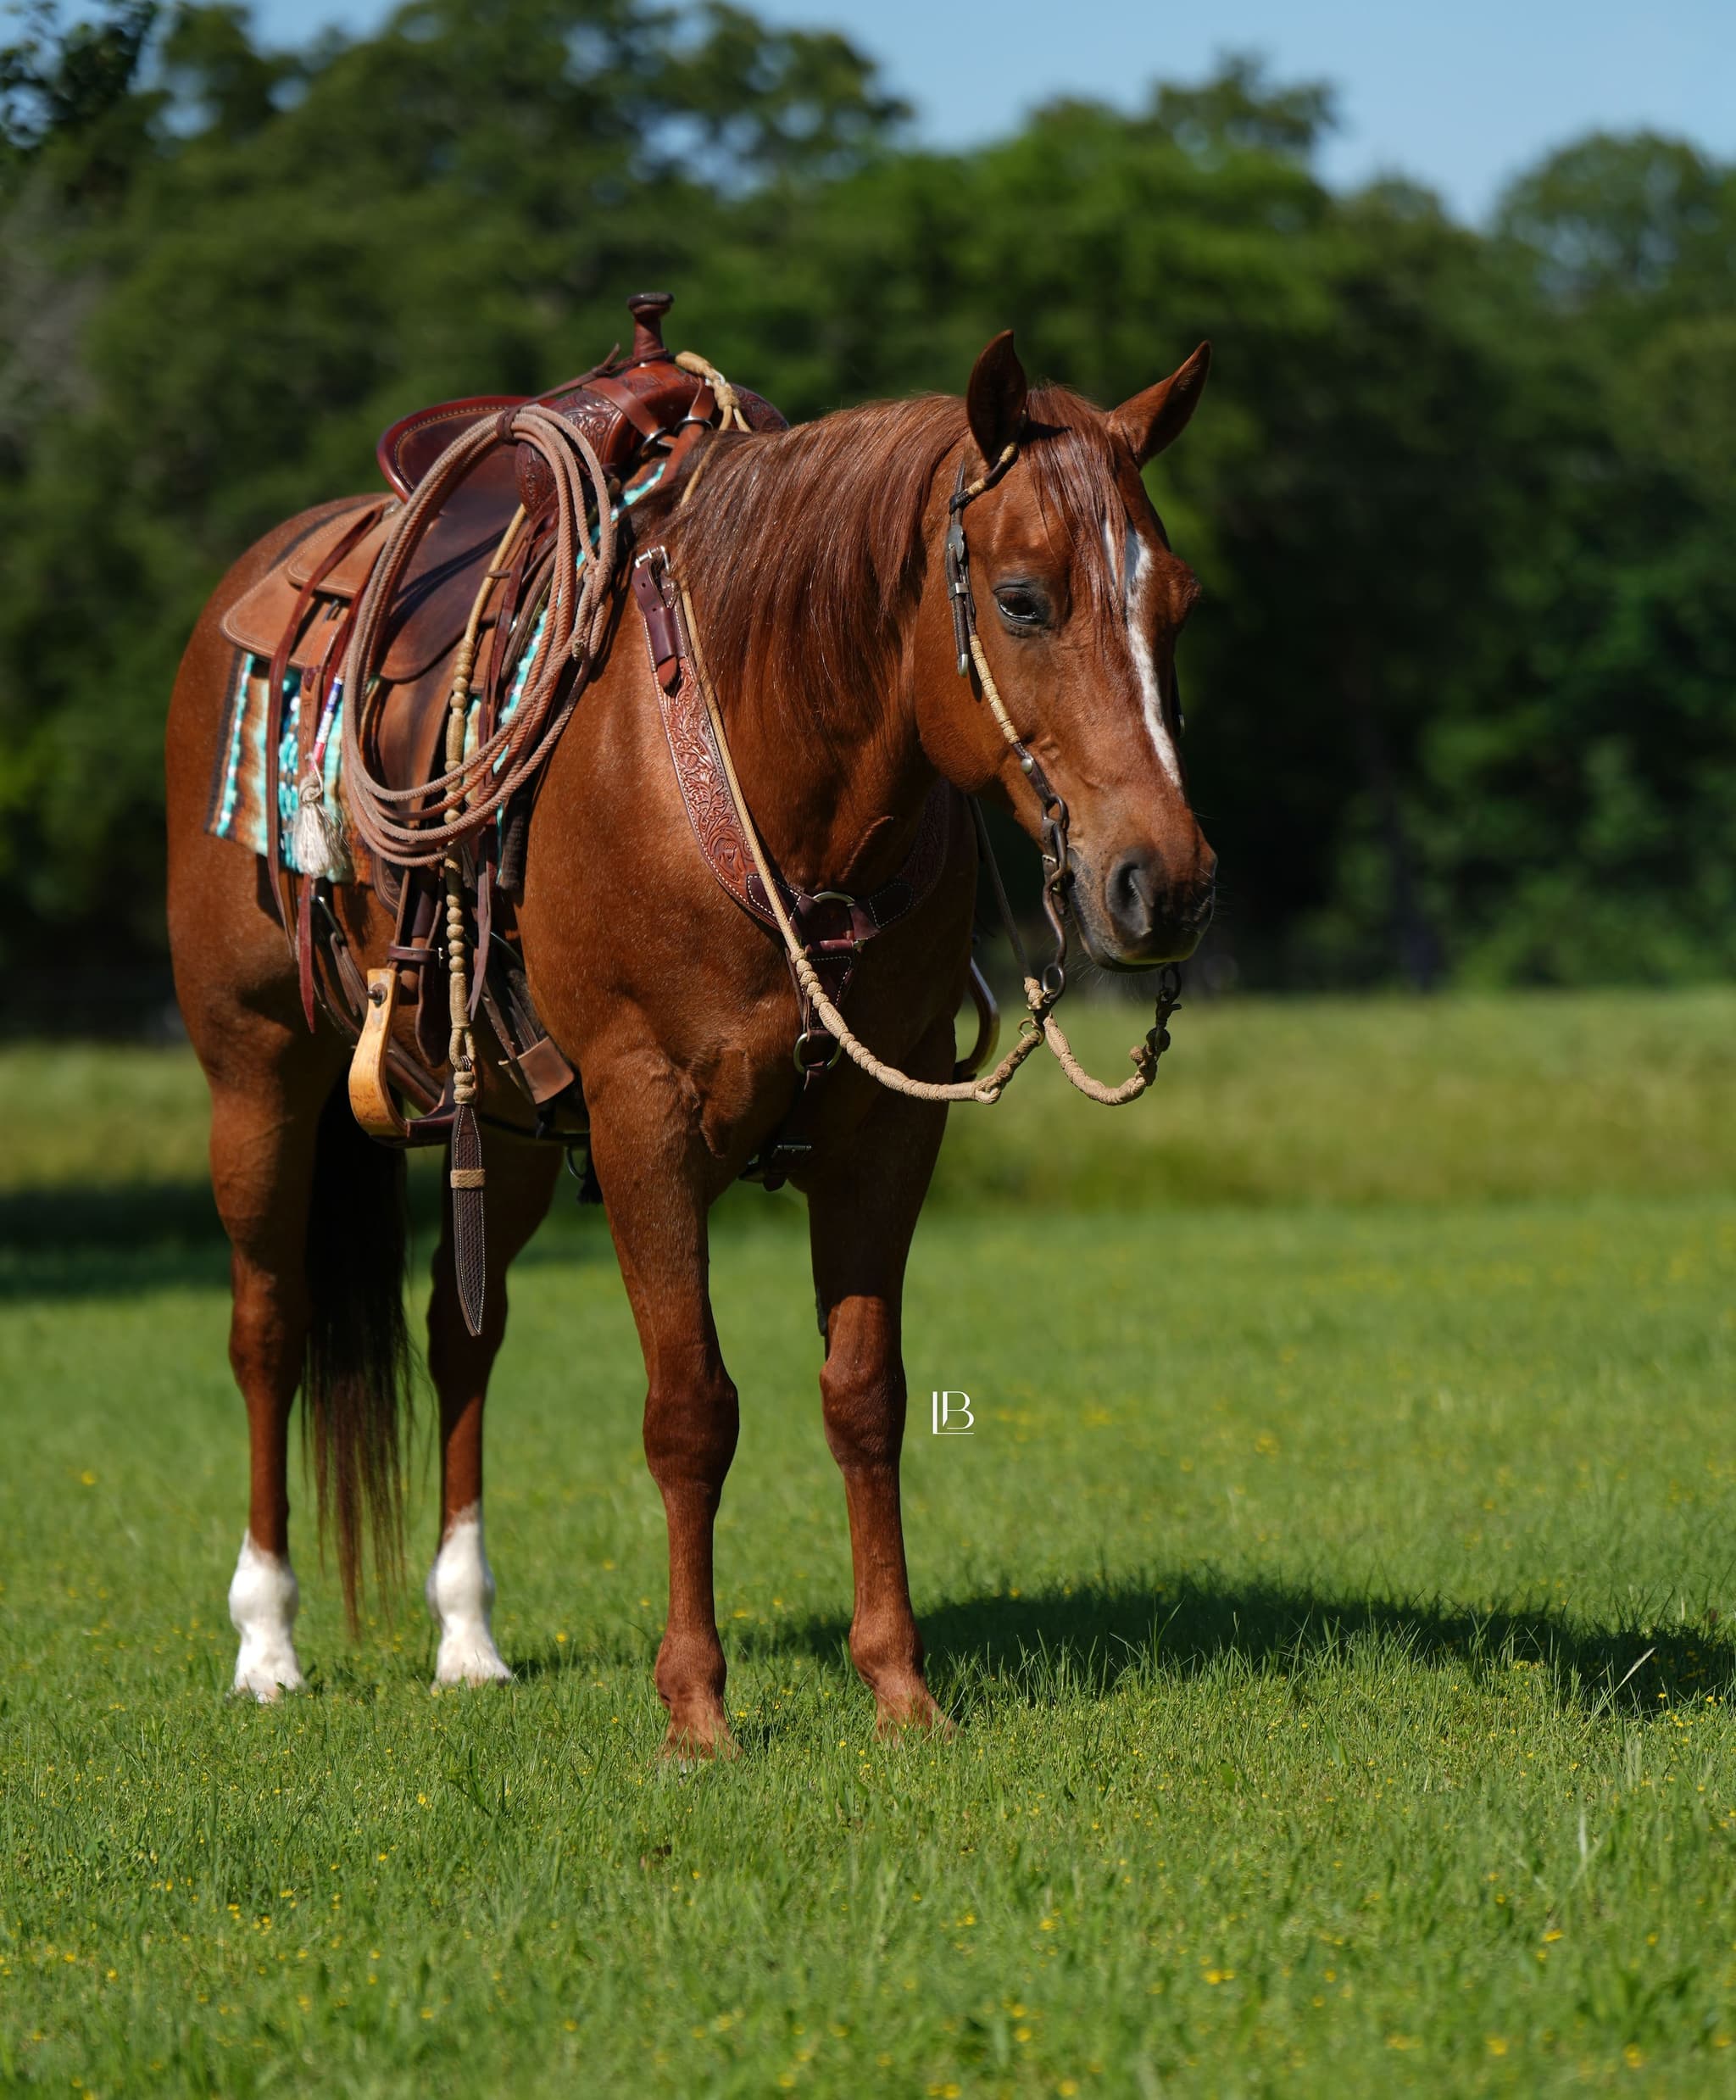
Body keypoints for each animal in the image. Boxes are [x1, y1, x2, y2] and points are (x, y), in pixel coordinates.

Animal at [164, 325, 1216, 1751]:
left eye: (1178, 609)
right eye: (1022, 598)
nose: (1163, 885)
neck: (768, 778)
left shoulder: (887, 1128)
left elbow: (864, 1395)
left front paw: (899, 1687)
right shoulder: (644, 1118)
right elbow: (690, 1411)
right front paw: (698, 1709)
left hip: (505, 1125)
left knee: (460, 1335)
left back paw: (468, 1637)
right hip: (257, 1074)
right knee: (267, 1329)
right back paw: (267, 1643)